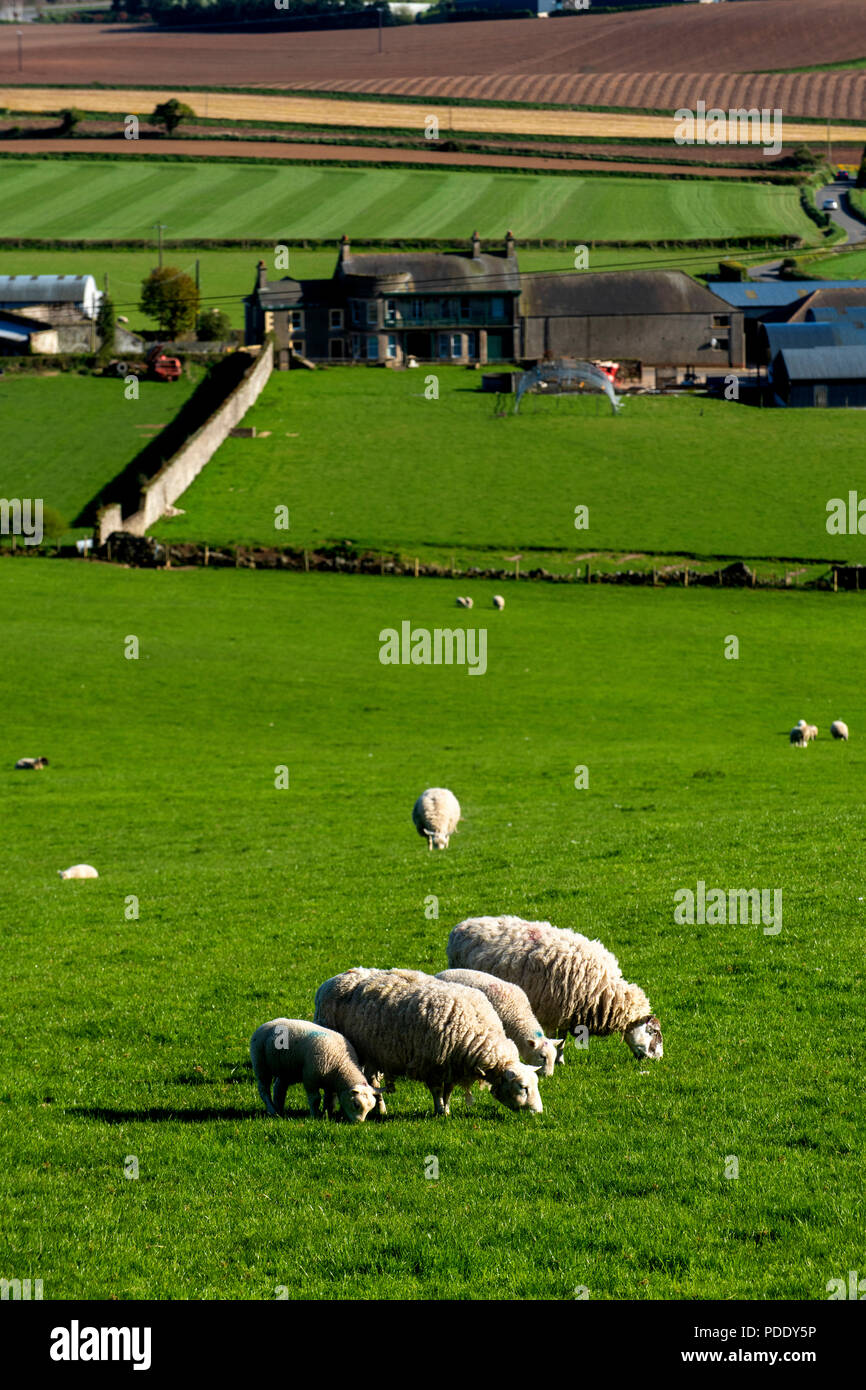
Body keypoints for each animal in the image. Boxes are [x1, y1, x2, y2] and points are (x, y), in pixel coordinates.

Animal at [247, 1017, 375, 1123]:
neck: (341, 1064)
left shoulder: (331, 1083)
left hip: (286, 1069)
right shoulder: (310, 1078)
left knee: (279, 1089)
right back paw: (272, 1110)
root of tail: (267, 1023)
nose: (358, 1123)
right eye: (356, 1104)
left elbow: (330, 1099)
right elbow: (315, 1099)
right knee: (264, 1090)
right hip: (260, 1064)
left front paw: (327, 1114)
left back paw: (279, 1110)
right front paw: (315, 1116)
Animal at [311, 967, 542, 1117]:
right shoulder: (432, 1064)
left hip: (372, 1052)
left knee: (373, 1082)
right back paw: (332, 1107)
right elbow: (437, 1090)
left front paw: (446, 1110)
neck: (475, 1031)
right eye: (522, 1087)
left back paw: (380, 1109)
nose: (538, 1112)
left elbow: (448, 1090)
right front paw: (439, 1111)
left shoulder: (452, 1065)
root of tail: (331, 981)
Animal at [447, 911, 664, 1061]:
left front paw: (559, 1059)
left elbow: (562, 1038)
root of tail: (460, 927)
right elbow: (555, 1038)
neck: (604, 991)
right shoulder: (552, 1011)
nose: (658, 1059)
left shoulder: (565, 1012)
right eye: (653, 1032)